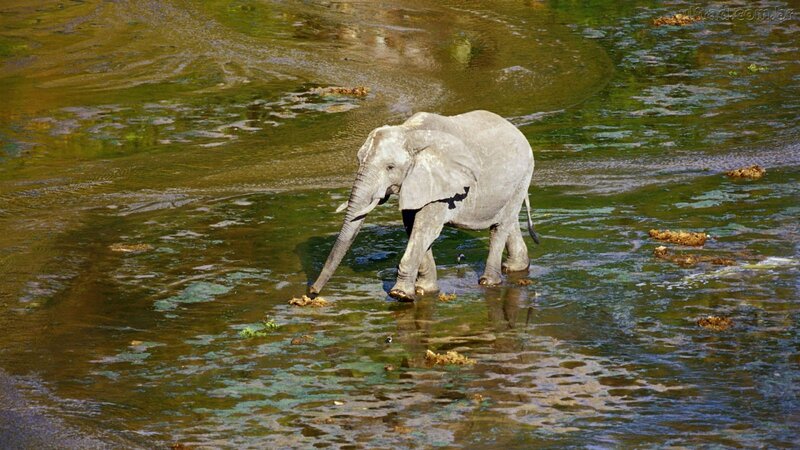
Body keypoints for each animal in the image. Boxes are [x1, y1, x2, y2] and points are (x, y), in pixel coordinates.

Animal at [308, 110, 539, 302]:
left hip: (523, 173)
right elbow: (413, 227)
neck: (409, 132)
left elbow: (424, 229)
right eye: (358, 161)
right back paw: (516, 268)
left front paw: (400, 295)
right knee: (508, 221)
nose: (311, 292)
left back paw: (488, 282)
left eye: (390, 167)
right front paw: (423, 290)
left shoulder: (442, 186)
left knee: (500, 227)